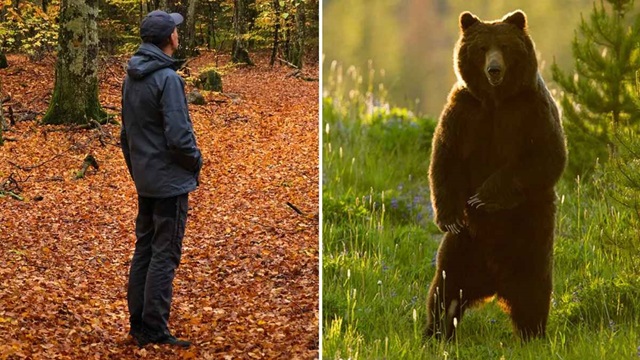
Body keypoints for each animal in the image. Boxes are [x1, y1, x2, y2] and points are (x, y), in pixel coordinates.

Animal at [428, 8, 568, 340]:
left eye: (504, 46)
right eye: (482, 48)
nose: (494, 69)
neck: (496, 99)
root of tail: (492, 284)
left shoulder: (531, 109)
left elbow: (547, 156)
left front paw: (483, 197)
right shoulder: (464, 111)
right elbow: (445, 157)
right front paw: (449, 216)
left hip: (531, 237)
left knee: (533, 292)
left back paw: (532, 335)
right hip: (462, 247)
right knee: (444, 290)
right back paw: (434, 333)